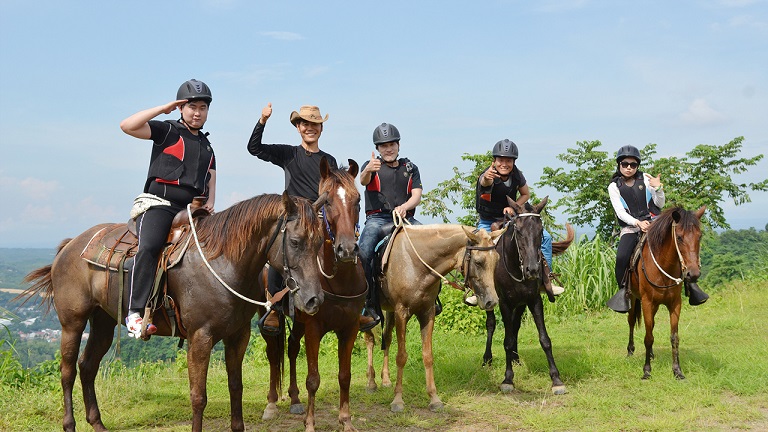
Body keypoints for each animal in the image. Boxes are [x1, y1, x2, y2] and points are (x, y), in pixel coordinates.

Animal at [18, 193, 324, 432]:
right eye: (295, 242)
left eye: (321, 241)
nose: (314, 299)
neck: (223, 261)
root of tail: (69, 246)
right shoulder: (200, 338)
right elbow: (198, 396)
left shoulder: (238, 335)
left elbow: (236, 386)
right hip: (72, 323)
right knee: (68, 371)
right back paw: (69, 424)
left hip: (103, 322)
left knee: (88, 366)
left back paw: (98, 423)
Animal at [258, 159, 366, 432]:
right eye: (327, 201)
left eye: (358, 199)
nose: (347, 249)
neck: (339, 281)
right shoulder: (314, 328)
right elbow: (313, 379)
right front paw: (309, 423)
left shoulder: (349, 327)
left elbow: (345, 376)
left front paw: (346, 420)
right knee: (273, 355)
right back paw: (272, 404)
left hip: (298, 321)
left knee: (292, 348)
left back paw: (295, 399)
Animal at [484, 198, 572, 394]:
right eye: (518, 230)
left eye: (540, 230)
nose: (532, 270)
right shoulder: (505, 303)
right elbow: (507, 340)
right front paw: (508, 379)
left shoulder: (533, 300)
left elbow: (544, 339)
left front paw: (556, 380)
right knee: (491, 324)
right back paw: (487, 359)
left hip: (521, 303)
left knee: (515, 325)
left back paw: (515, 358)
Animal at [628, 205, 704, 378]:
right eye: (680, 237)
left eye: (699, 236)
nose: (693, 274)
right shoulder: (647, 302)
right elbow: (648, 337)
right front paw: (647, 371)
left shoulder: (675, 304)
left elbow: (674, 337)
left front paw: (677, 370)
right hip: (633, 298)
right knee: (631, 321)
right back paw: (630, 350)